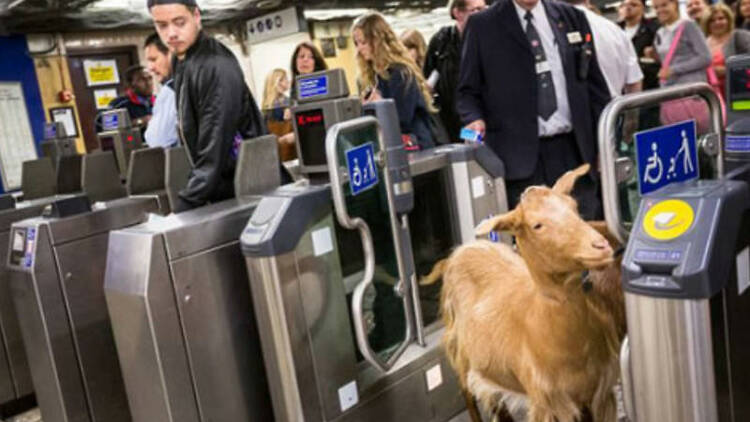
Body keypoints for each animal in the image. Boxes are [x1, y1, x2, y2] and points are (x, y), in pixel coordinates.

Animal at [424, 165, 624, 422]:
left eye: (574, 207)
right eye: (537, 225)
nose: (601, 246)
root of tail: (457, 253)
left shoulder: (599, 395)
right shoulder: (548, 403)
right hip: (460, 351)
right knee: (467, 392)